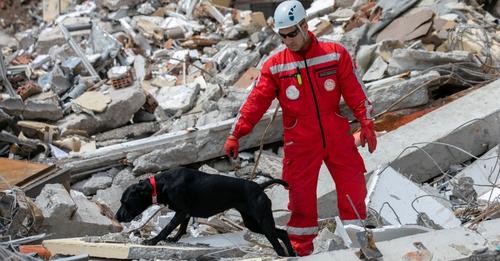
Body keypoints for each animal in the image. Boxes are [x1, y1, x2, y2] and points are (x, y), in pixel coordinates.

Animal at [116, 167, 296, 254]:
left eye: (124, 202)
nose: (117, 217)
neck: (161, 184)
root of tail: (260, 186)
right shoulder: (185, 213)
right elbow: (181, 229)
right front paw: (174, 239)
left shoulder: (181, 212)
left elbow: (167, 228)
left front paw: (152, 241)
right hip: (253, 223)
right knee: (282, 233)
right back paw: (292, 253)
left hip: (262, 221)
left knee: (277, 241)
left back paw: (282, 254)